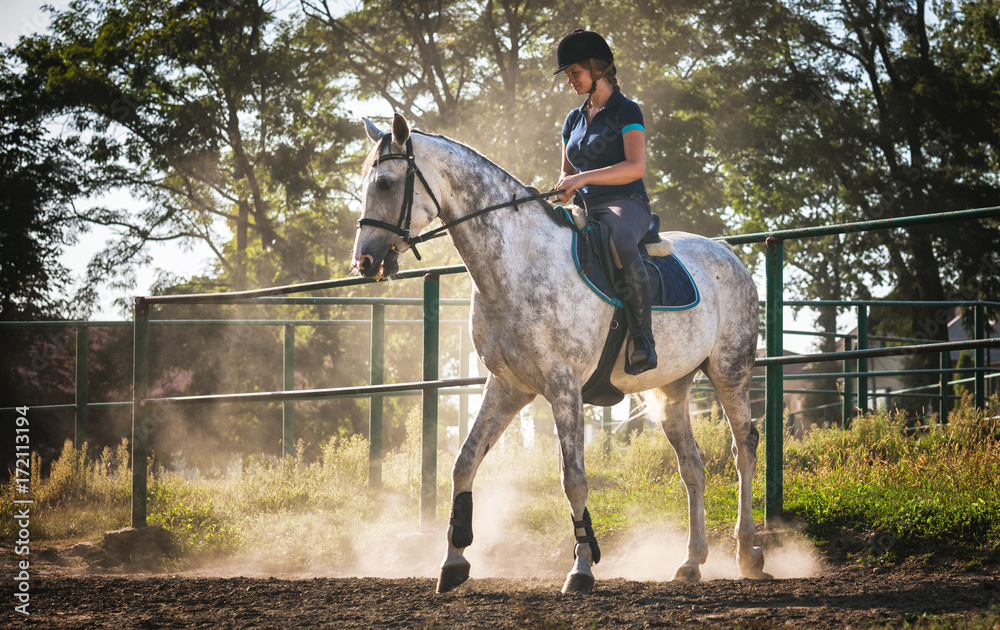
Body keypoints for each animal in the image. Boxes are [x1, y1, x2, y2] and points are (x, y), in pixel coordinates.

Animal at [352, 115, 764, 596]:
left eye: (384, 182)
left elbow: (574, 480)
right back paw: (692, 562)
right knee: (692, 466)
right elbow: (464, 463)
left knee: (744, 449)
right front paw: (453, 561)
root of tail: (727, 252)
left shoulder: (564, 387)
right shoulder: (508, 386)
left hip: (730, 372)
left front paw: (582, 569)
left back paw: (748, 551)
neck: (517, 264)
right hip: (669, 392)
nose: (363, 261)